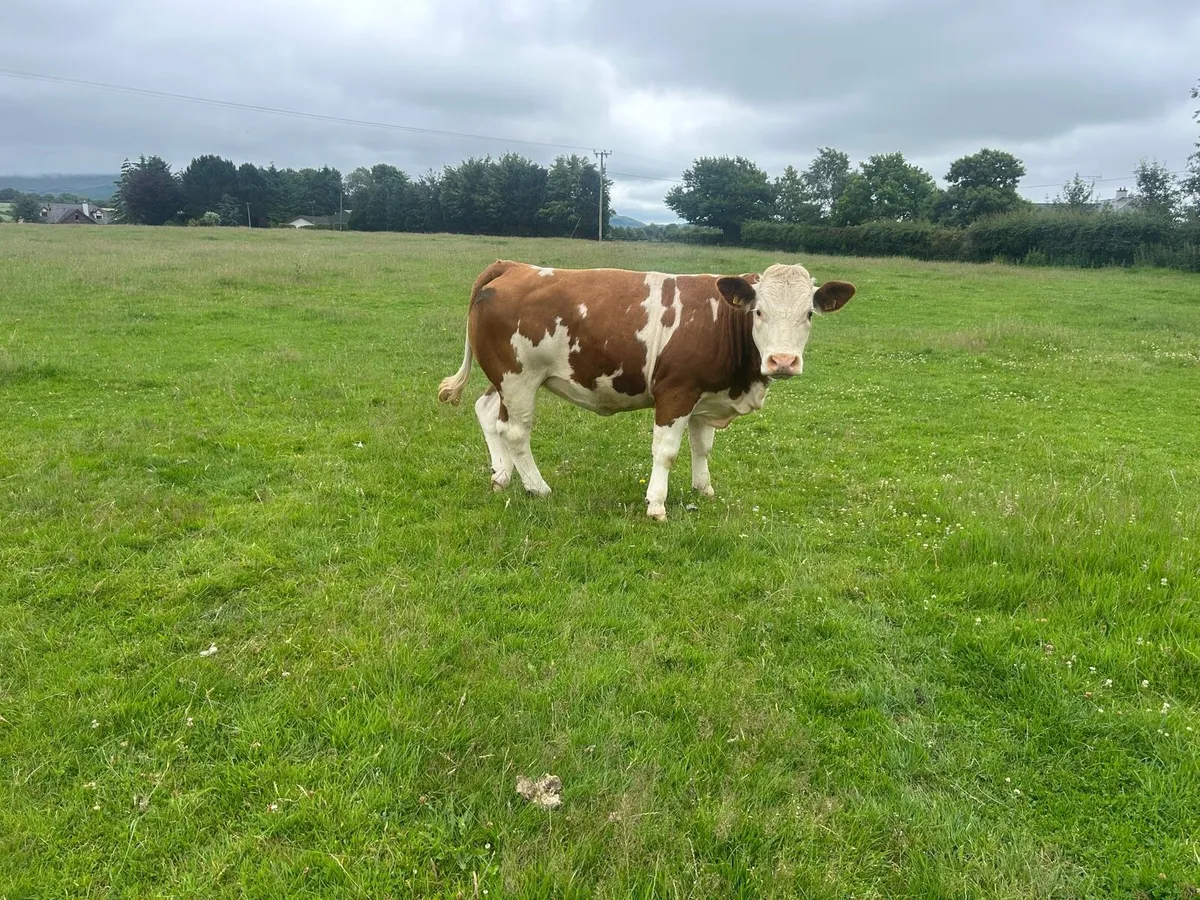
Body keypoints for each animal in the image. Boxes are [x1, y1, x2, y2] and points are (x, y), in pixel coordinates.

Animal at [438, 260, 855, 520]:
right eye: (758, 312)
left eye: (809, 314)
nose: (783, 361)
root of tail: (513, 266)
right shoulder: (676, 392)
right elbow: (667, 451)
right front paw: (656, 504)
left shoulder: (704, 396)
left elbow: (702, 447)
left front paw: (704, 489)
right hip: (519, 377)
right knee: (515, 432)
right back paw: (537, 487)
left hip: (505, 379)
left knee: (488, 413)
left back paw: (502, 476)